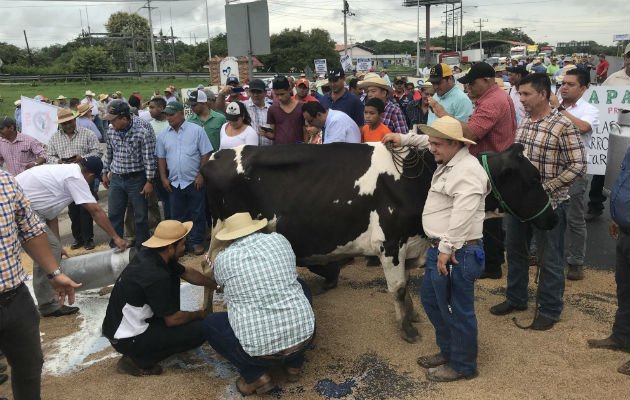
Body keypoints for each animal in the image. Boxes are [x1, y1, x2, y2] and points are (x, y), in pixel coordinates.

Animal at [202, 142, 556, 342]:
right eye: (533, 179)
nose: (550, 217)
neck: (420, 179)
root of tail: (215, 154)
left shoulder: (410, 244)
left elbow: (407, 286)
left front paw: (412, 315)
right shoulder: (390, 243)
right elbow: (397, 288)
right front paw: (407, 329)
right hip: (221, 237)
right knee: (209, 273)